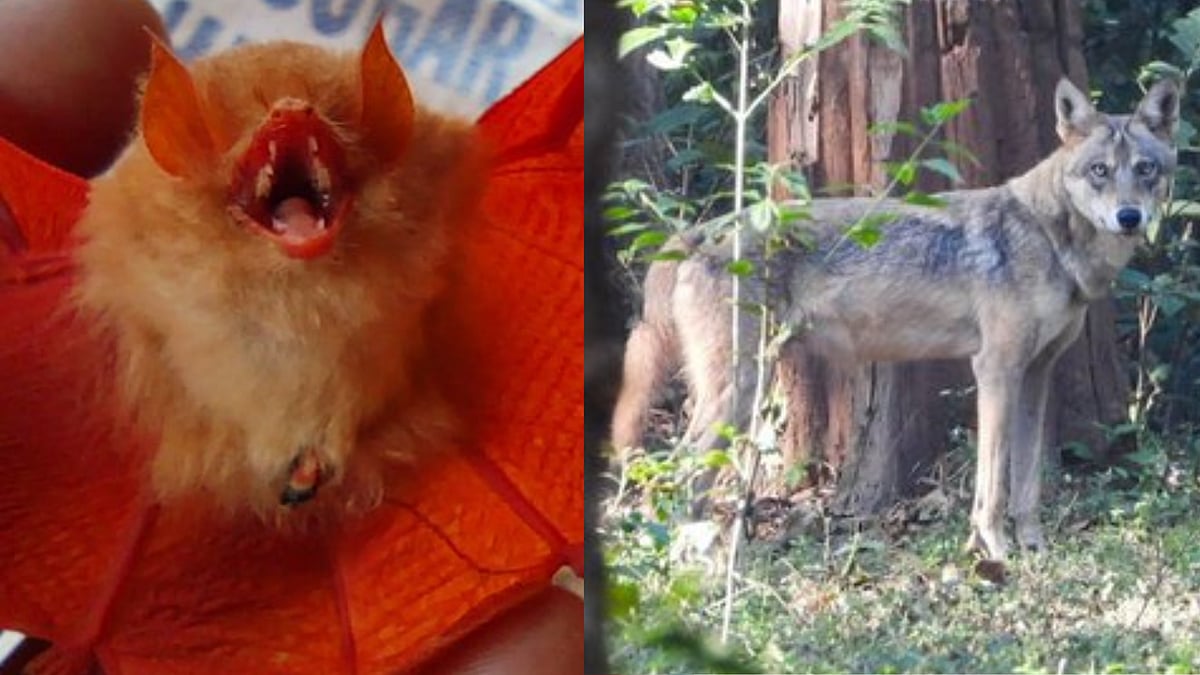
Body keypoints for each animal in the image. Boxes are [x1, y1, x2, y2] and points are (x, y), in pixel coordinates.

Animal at [611, 77, 1180, 560]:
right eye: (1099, 171)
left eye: (1146, 170)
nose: (1130, 217)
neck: (1049, 236)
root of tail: (698, 231)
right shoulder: (995, 370)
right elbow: (992, 485)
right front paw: (995, 553)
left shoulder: (1036, 374)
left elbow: (1025, 484)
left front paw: (1034, 550)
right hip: (740, 390)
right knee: (680, 466)